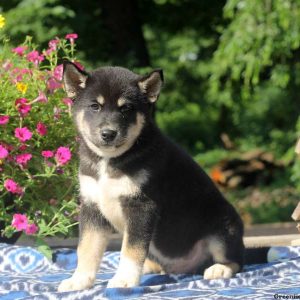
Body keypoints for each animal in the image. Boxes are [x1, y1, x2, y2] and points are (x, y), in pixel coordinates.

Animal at [57, 59, 245, 292]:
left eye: (126, 108)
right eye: (95, 106)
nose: (108, 134)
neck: (109, 161)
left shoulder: (142, 206)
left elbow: (131, 249)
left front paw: (124, 280)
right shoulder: (92, 206)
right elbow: (86, 249)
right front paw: (80, 280)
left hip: (223, 227)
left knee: (236, 259)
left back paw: (219, 269)